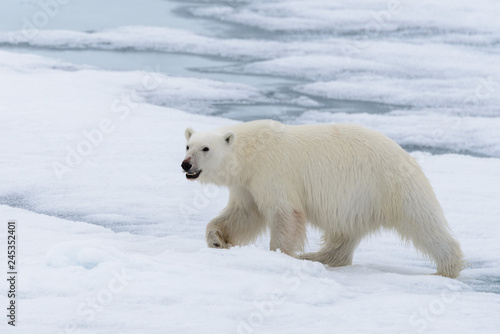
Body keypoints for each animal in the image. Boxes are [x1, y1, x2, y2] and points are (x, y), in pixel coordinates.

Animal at [182, 120, 462, 280]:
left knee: (423, 223)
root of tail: (407, 156)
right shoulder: (246, 183)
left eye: (205, 148)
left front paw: (279, 255)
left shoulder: (274, 170)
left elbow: (284, 213)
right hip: (358, 201)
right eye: (188, 145)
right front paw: (217, 239)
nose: (186, 164)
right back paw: (317, 256)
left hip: (390, 187)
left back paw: (447, 267)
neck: (251, 151)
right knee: (343, 234)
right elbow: (244, 213)